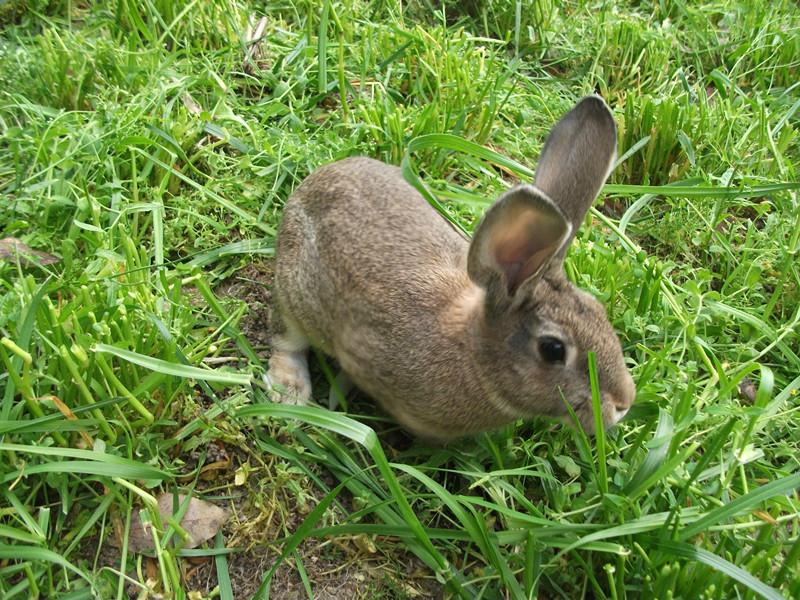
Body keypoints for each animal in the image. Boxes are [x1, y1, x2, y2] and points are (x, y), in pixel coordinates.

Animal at [266, 94, 636, 440]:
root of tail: (313, 182)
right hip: (295, 288)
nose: (623, 403)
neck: (472, 352)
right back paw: (288, 391)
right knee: (287, 335)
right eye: (553, 349)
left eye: (598, 309)